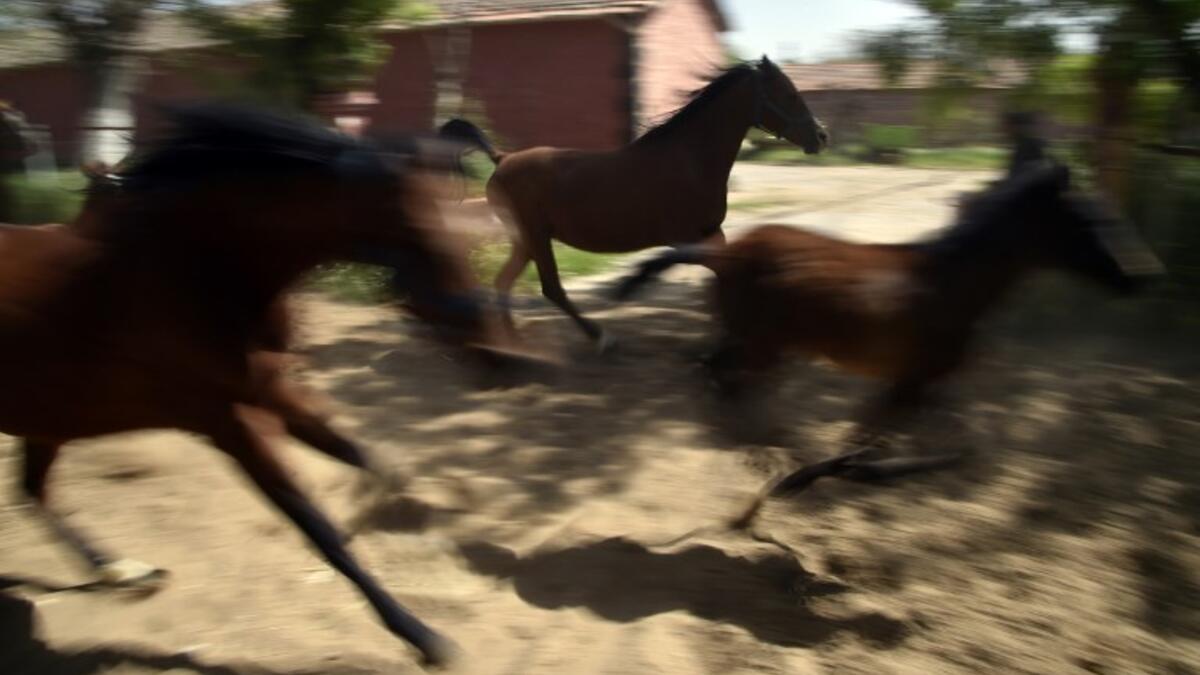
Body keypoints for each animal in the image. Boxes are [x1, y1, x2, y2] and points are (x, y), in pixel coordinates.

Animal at [0, 103, 519, 665]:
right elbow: (322, 532)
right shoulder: (231, 423)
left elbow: (377, 464)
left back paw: (125, 572)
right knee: (32, 493)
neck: (194, 275)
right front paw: (423, 636)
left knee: (33, 491)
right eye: (409, 232)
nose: (497, 354)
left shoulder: (276, 394)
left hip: (48, 417)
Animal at [442, 56, 829, 348]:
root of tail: (502, 158)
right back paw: (600, 338)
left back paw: (513, 342)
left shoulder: (710, 233)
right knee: (550, 288)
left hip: (525, 240)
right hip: (535, 236)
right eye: (789, 93)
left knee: (503, 283)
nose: (822, 136)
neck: (691, 160)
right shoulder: (687, 239)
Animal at [611, 163, 1164, 497]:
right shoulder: (909, 382)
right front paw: (811, 479)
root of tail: (726, 256)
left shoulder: (927, 384)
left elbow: (955, 447)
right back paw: (762, 449)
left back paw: (759, 446)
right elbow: (865, 441)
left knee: (715, 372)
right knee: (717, 376)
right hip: (761, 344)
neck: (951, 281)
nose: (1144, 277)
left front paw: (846, 474)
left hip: (762, 344)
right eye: (1088, 223)